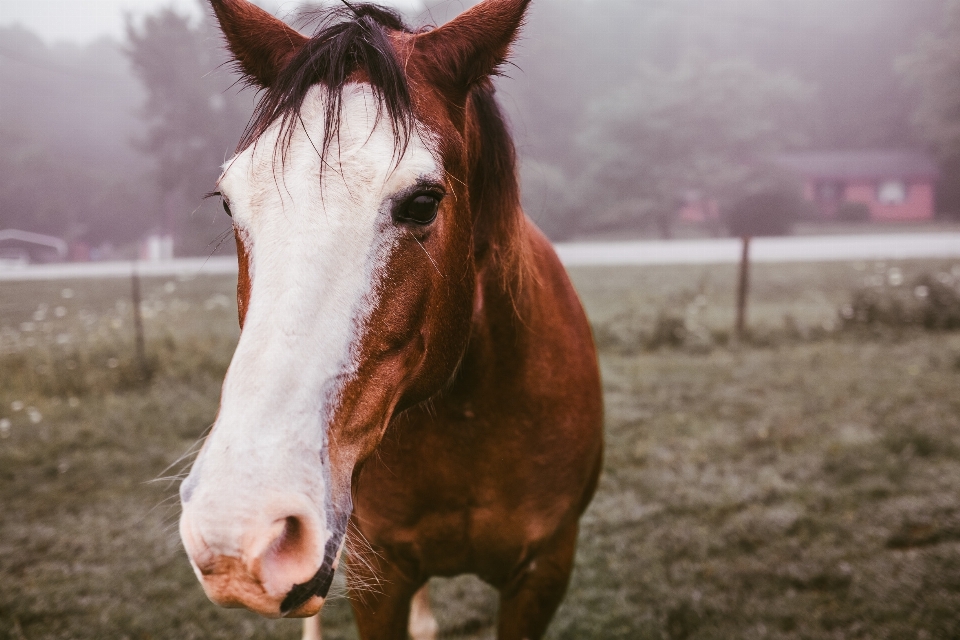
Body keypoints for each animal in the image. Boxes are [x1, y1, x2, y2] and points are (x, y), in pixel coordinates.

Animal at [176, 2, 604, 636]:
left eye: (424, 201)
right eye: (229, 202)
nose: (239, 527)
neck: (465, 417)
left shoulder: (544, 572)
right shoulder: (375, 576)